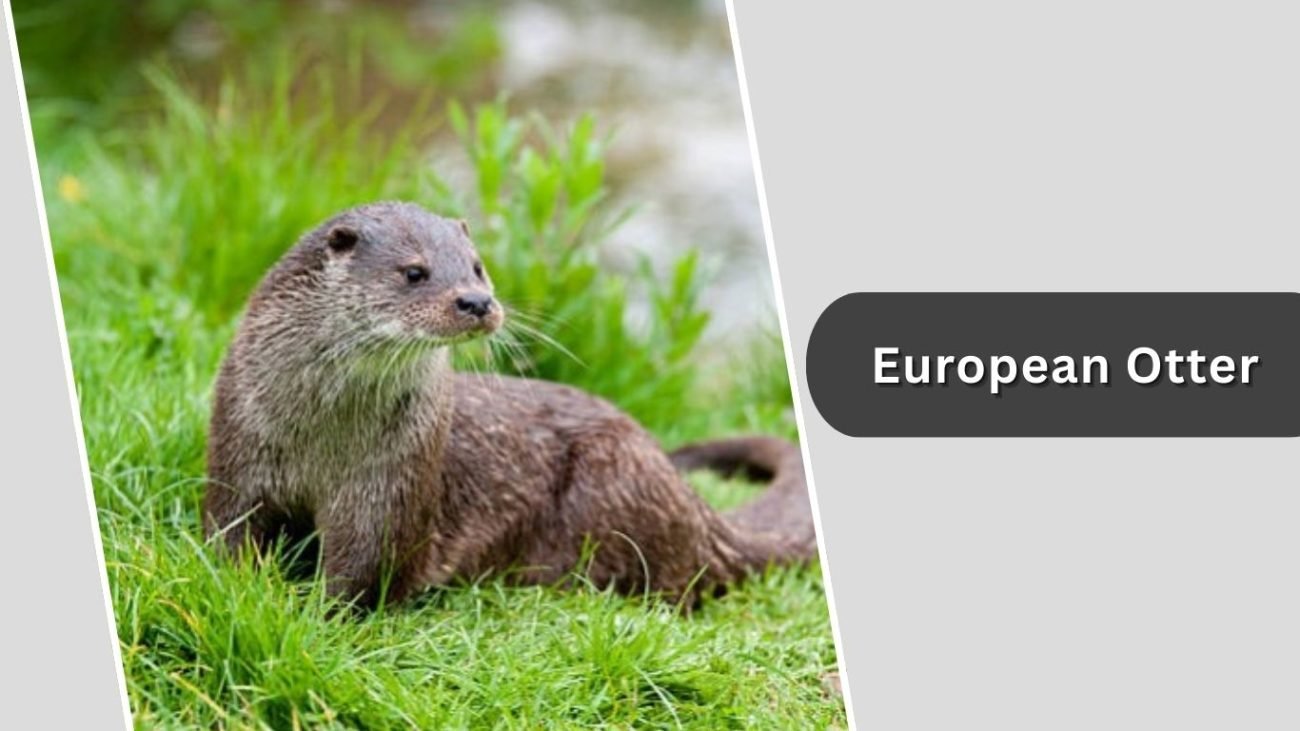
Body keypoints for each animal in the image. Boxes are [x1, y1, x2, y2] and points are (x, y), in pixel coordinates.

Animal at [204, 201, 816, 608]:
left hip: (613, 481)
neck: (322, 434)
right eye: (414, 272)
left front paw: (315, 614)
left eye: (477, 266)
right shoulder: (239, 448)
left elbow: (363, 568)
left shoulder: (390, 484)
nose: (477, 301)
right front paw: (236, 585)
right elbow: (229, 529)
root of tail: (694, 507)